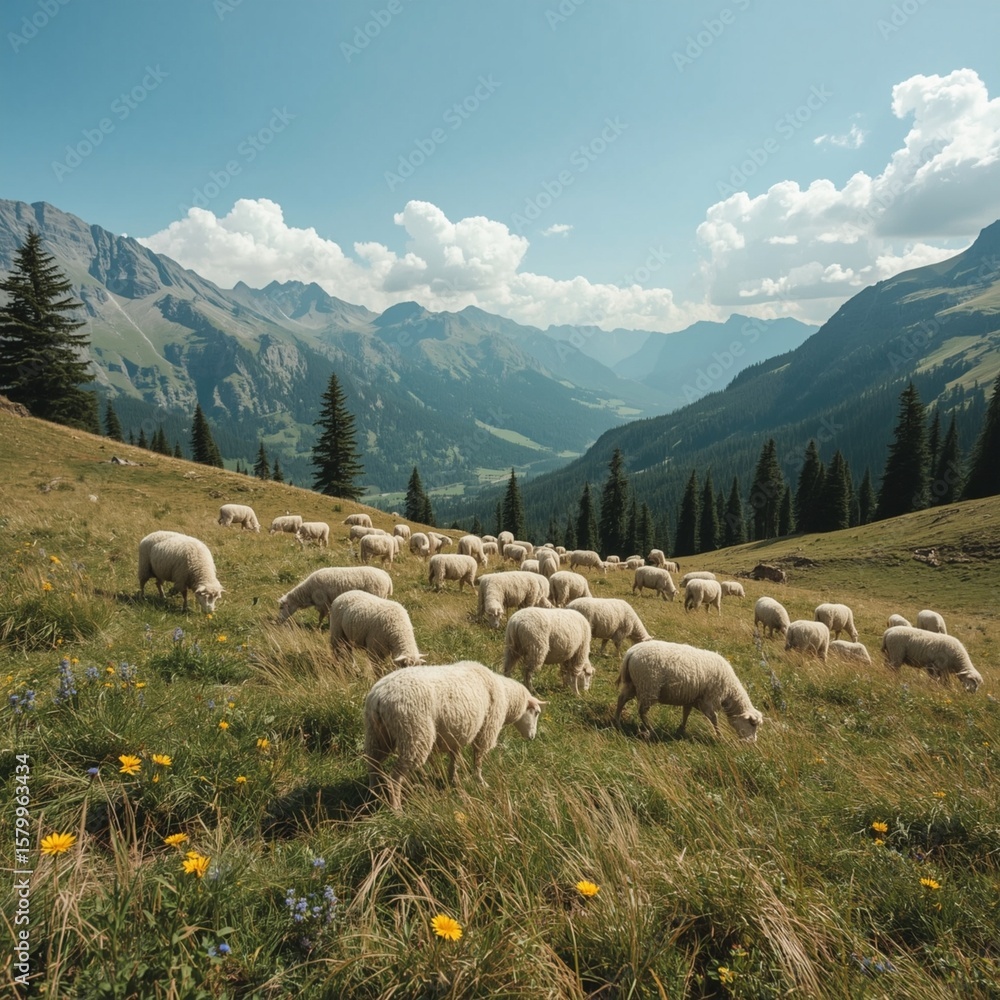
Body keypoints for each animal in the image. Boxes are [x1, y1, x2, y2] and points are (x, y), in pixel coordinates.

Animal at [362, 660, 543, 809]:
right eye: (536, 713)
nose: (533, 737)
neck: (506, 697)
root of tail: (379, 697)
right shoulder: (486, 730)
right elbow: (478, 759)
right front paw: (480, 781)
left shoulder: (457, 733)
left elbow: (454, 758)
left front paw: (452, 779)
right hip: (414, 733)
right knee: (395, 777)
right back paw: (396, 809)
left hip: (377, 734)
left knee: (373, 763)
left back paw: (373, 795)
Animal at [614, 640, 762, 741]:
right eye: (752, 724)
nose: (752, 742)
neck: (730, 692)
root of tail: (631, 652)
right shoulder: (709, 700)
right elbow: (714, 718)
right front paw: (719, 736)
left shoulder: (691, 698)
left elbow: (686, 713)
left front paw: (681, 730)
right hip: (648, 686)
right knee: (642, 711)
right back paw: (651, 730)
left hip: (633, 684)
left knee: (621, 699)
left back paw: (617, 723)